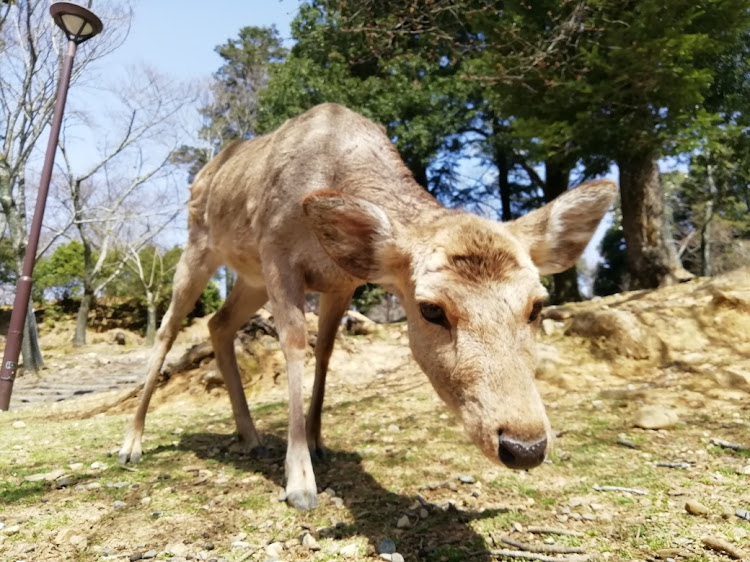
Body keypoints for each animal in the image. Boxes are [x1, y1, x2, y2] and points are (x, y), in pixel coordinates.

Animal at [119, 100, 616, 508]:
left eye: (536, 305)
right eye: (431, 309)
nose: (525, 445)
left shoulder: (344, 281)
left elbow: (326, 351)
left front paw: (318, 442)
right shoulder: (278, 254)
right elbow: (295, 344)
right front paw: (300, 481)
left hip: (250, 277)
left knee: (218, 323)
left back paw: (250, 434)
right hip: (201, 246)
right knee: (168, 328)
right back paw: (132, 444)